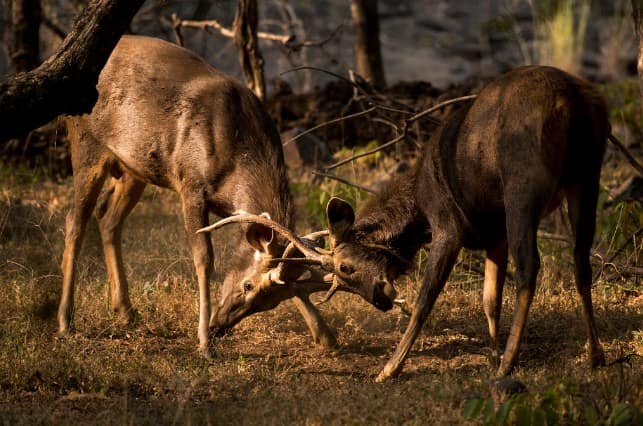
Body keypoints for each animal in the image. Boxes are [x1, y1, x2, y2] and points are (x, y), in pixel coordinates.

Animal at [57, 34, 338, 352]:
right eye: (248, 285)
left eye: (272, 302)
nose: (220, 326)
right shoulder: (190, 184)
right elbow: (204, 257)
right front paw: (203, 341)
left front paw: (325, 335)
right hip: (87, 145)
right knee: (75, 220)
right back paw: (65, 321)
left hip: (135, 168)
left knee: (108, 220)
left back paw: (126, 311)